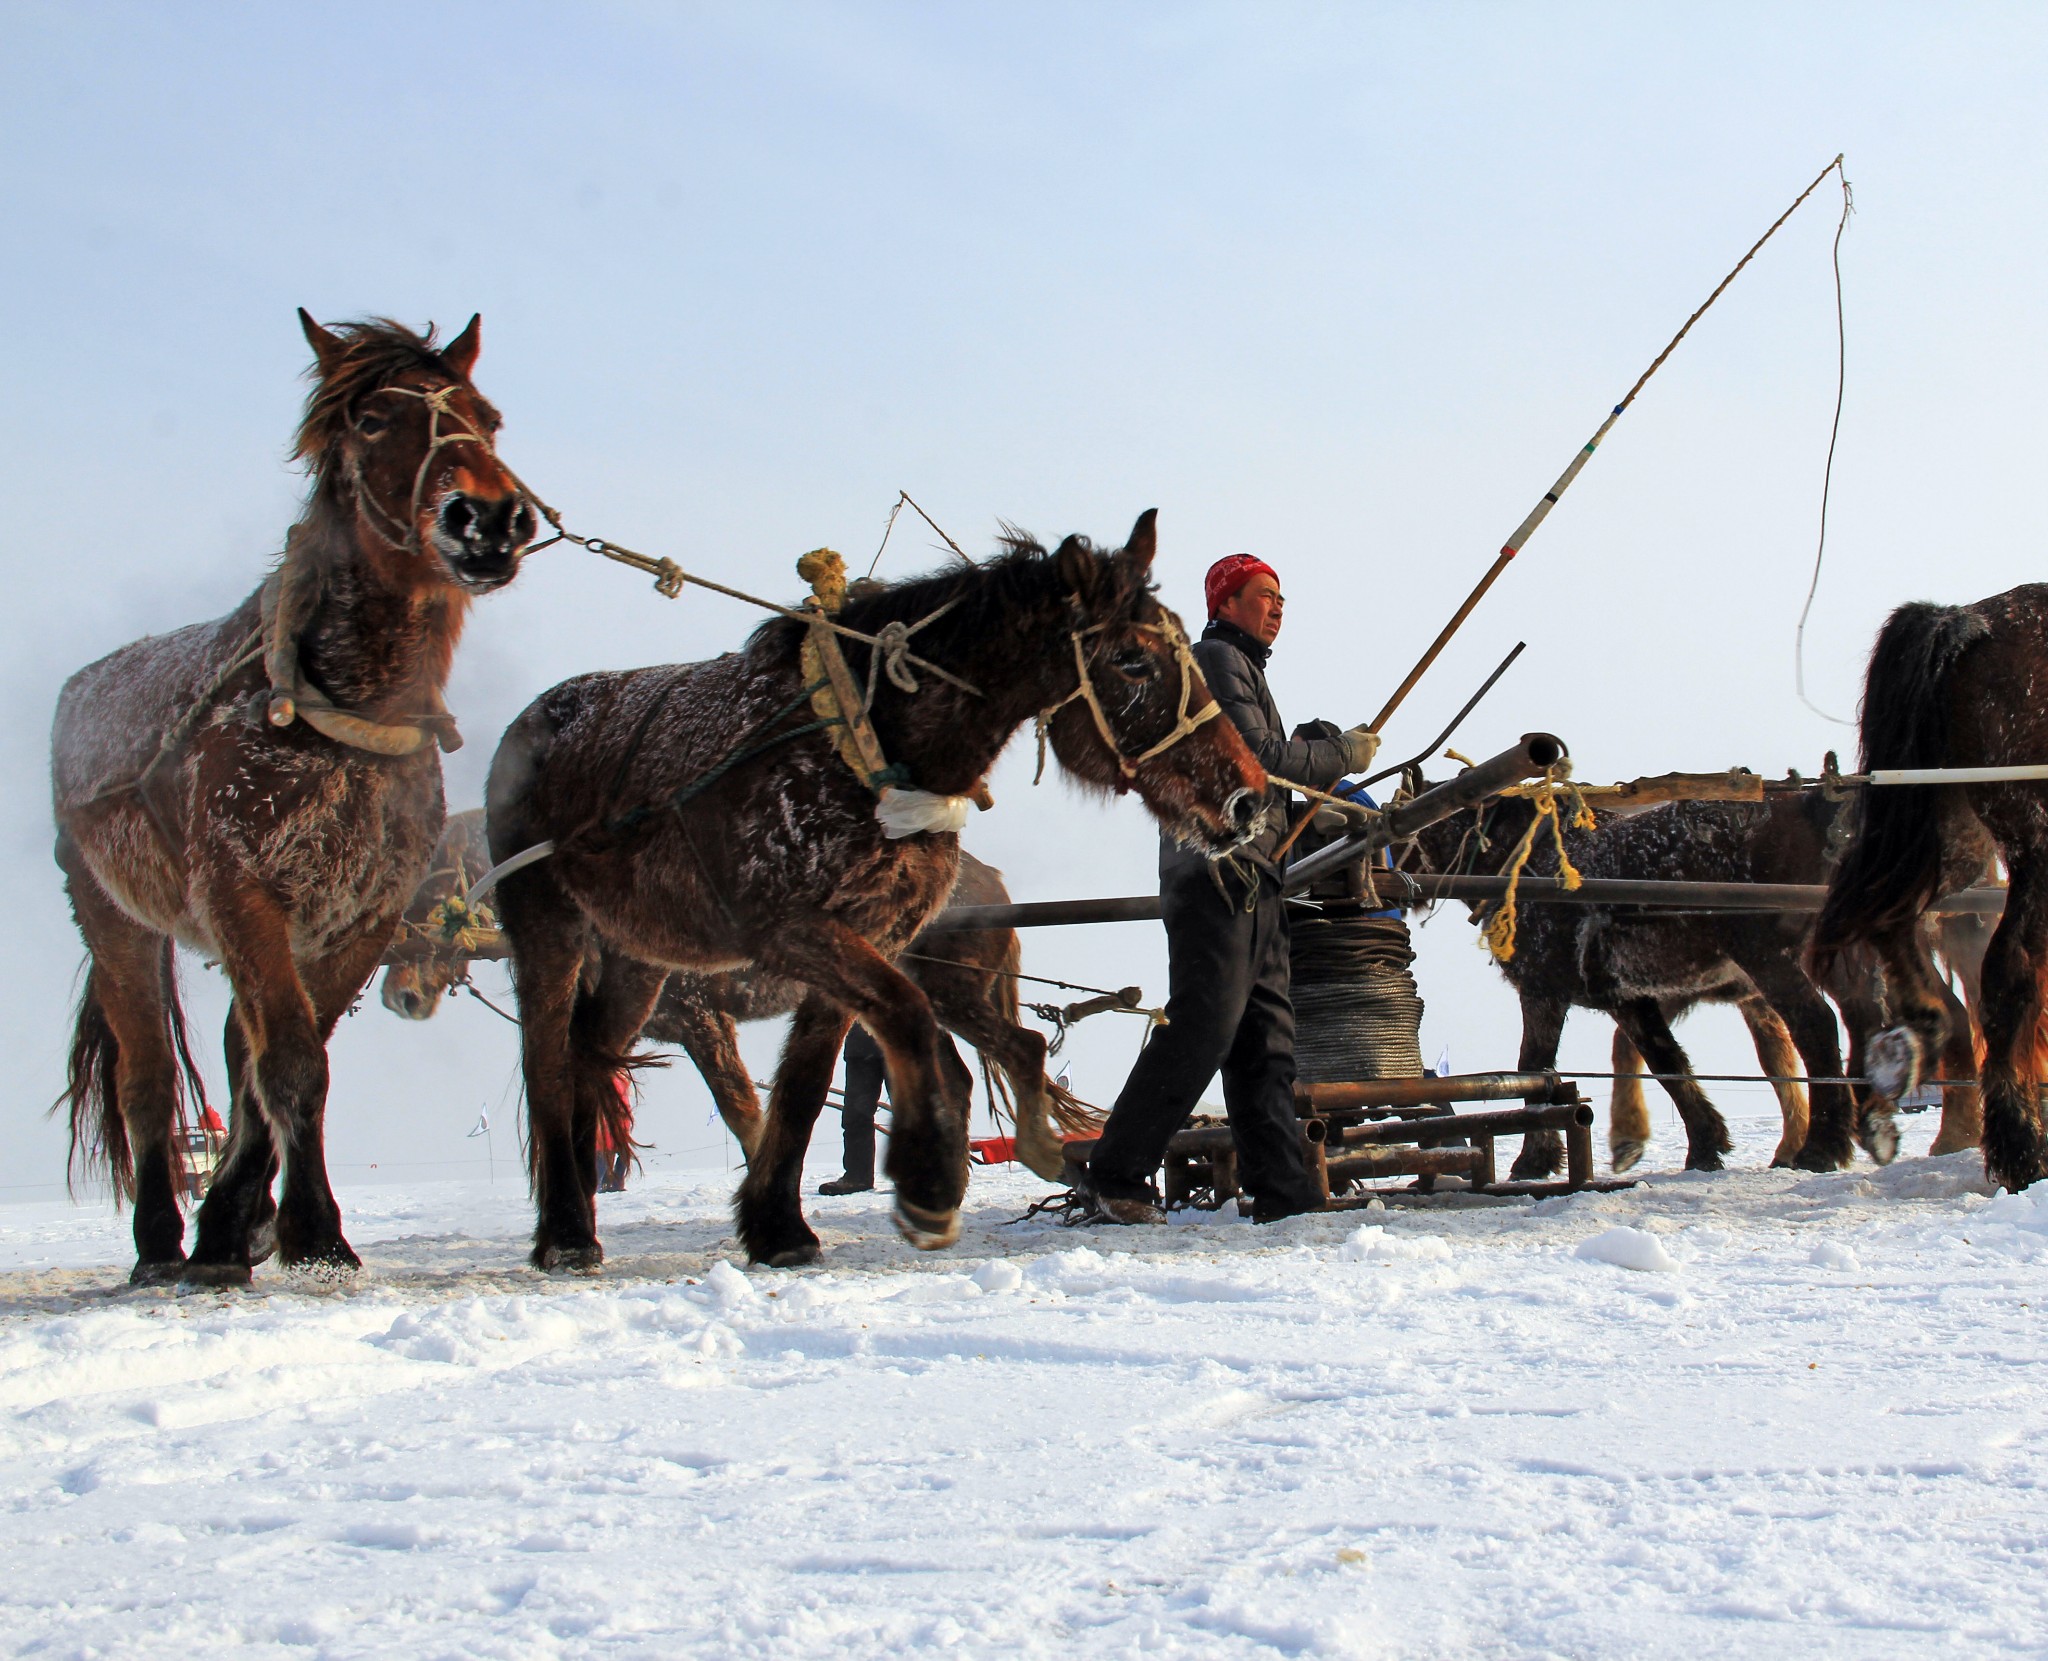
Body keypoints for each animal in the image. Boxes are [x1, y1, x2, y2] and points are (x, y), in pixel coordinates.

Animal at [54, 317, 536, 1294]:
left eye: (487, 416)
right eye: (372, 419)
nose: (487, 519)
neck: (341, 717)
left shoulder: (353, 918)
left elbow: (276, 1062)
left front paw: (238, 1224)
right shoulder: (245, 897)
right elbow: (290, 1062)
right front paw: (311, 1234)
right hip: (117, 920)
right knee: (147, 1081)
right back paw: (157, 1242)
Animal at [493, 514, 1261, 1269]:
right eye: (1133, 660)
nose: (1249, 798)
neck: (868, 744)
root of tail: (530, 725)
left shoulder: (864, 932)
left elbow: (804, 1086)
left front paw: (778, 1226)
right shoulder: (791, 929)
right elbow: (898, 1020)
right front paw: (925, 1183)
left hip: (641, 957)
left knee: (590, 1055)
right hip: (547, 922)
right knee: (549, 1063)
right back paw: (565, 1231)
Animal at [1810, 589, 2048, 1204]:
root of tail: (1969, 621)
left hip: (1953, 830)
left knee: (1889, 919)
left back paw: (1914, 1040)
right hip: (2030, 839)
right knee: (2010, 971)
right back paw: (2022, 1152)